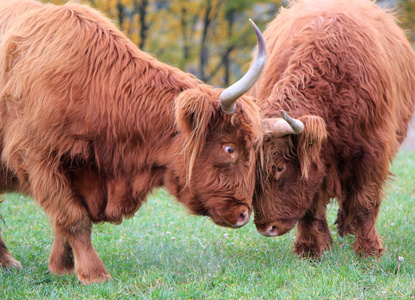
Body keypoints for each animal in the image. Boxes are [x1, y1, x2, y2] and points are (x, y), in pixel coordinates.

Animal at [0, 0, 266, 282]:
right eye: (229, 148)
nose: (244, 214)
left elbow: (65, 220)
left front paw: (62, 267)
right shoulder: (37, 159)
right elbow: (73, 217)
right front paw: (93, 273)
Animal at [250, 0, 415, 258]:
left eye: (279, 167)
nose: (266, 228)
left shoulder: (372, 151)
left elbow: (365, 201)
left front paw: (369, 251)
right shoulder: (319, 158)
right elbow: (311, 205)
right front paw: (310, 249)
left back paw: (349, 230)